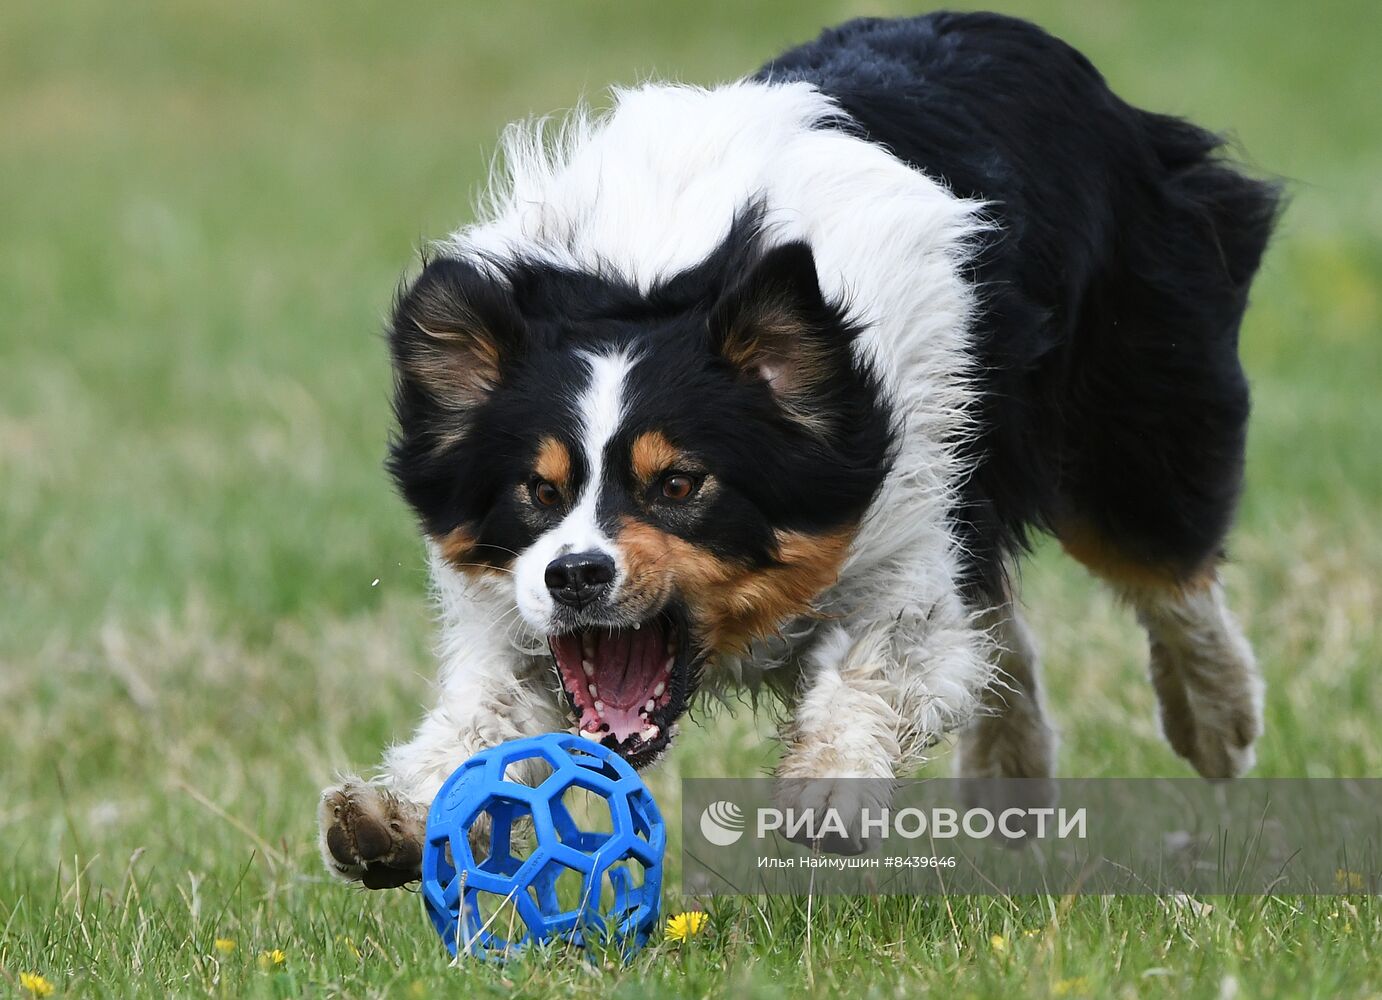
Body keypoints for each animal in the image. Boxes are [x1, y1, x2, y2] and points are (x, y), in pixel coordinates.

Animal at [317, 7, 1276, 883]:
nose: (576, 575)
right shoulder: (512, 606)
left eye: (680, 485)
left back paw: (1217, 722)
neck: (650, 286)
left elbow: (890, 648)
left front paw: (827, 789)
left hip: (1132, 397)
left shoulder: (905, 500)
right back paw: (1013, 788)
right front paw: (393, 819)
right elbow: (490, 711)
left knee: (1162, 564)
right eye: (537, 491)